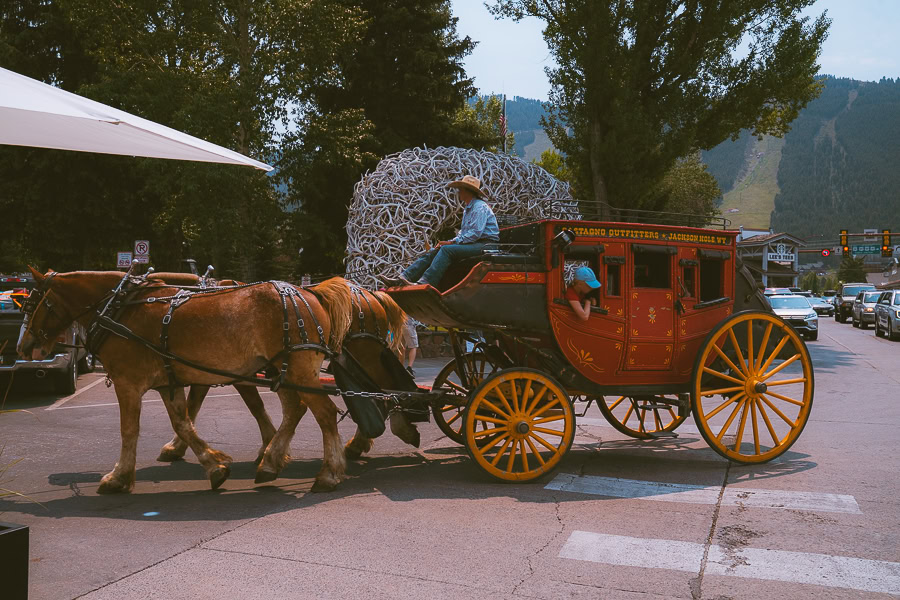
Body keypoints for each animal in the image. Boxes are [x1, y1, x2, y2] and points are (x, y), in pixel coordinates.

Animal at [15, 270, 352, 492]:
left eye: (33, 304)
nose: (23, 347)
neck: (120, 309)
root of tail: (310, 293)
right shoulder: (170, 380)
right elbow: (184, 422)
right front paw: (214, 465)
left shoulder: (128, 382)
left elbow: (129, 430)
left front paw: (118, 476)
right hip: (284, 370)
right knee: (296, 409)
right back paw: (271, 461)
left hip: (297, 370)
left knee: (323, 413)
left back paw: (329, 473)